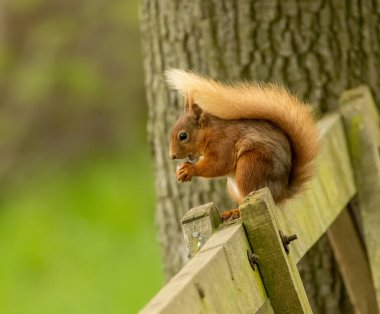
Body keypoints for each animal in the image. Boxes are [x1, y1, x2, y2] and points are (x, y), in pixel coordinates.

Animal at [166, 69, 318, 220]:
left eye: (183, 136)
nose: (172, 156)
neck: (209, 132)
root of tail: (280, 193)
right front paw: (180, 169)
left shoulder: (224, 142)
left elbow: (219, 163)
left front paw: (189, 169)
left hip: (250, 166)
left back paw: (235, 212)